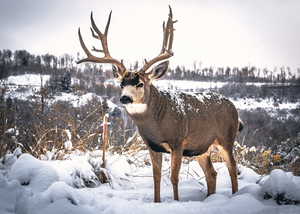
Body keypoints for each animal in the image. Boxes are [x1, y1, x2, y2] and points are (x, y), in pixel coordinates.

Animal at [76, 6, 243, 203]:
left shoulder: (178, 141)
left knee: (232, 169)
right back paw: (211, 198)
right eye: (121, 84)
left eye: (140, 84)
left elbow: (174, 177)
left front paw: (176, 201)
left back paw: (236, 196)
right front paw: (157, 202)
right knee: (212, 173)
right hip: (201, 147)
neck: (157, 124)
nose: (125, 98)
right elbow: (156, 177)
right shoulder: (152, 145)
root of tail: (233, 107)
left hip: (226, 138)